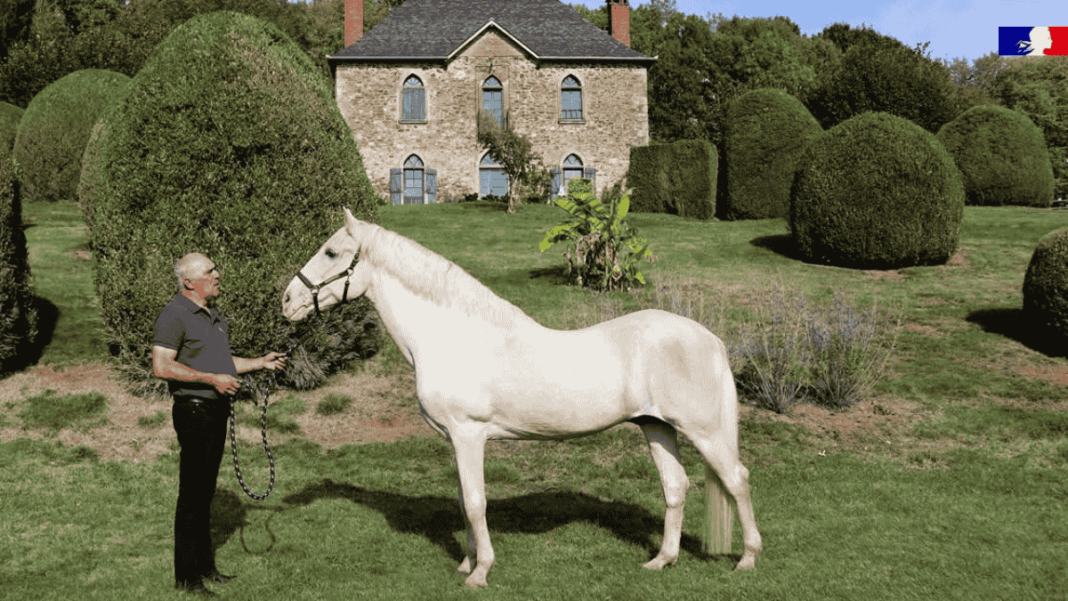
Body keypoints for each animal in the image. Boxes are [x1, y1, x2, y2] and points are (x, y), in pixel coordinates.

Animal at [281, 207, 761, 588]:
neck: (451, 337)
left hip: (704, 431)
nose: (287, 301)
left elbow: (476, 503)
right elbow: (464, 500)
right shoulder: (456, 440)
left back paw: (747, 559)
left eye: (330, 252)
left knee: (737, 480)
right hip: (656, 426)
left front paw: (480, 572)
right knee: (675, 486)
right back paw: (662, 560)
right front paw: (466, 562)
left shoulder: (469, 435)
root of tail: (711, 339)